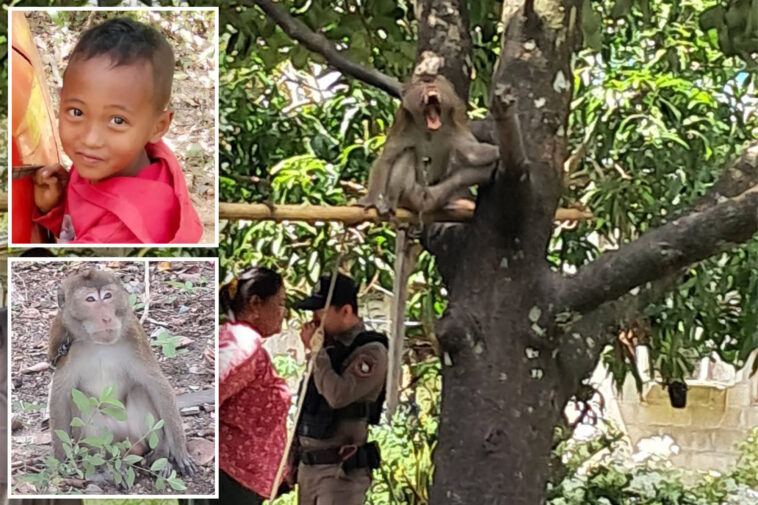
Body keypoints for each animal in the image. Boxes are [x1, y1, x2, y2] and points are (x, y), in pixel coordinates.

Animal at [48, 270, 197, 481]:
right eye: (90, 299)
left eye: (108, 296)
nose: (106, 318)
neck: (98, 344)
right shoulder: (65, 346)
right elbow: (60, 397)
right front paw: (61, 461)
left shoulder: (133, 336)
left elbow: (156, 384)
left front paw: (179, 450)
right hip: (106, 438)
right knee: (84, 401)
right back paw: (108, 464)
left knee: (140, 390)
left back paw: (160, 454)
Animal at [357, 73, 500, 216]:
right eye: (422, 83)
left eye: (433, 81)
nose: (430, 86)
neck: (428, 129)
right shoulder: (402, 121)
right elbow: (386, 159)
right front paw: (370, 200)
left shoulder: (455, 119)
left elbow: (472, 152)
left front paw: (499, 152)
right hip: (411, 192)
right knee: (407, 152)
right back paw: (390, 203)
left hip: (436, 196)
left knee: (469, 175)